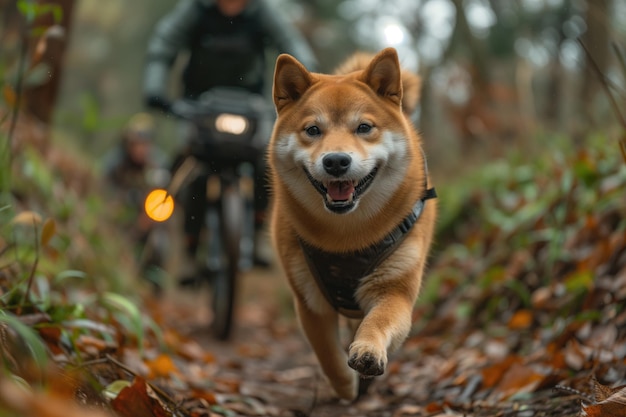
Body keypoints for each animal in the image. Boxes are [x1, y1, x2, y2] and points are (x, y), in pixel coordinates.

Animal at [266, 48, 434, 400]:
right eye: (312, 130)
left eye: (364, 127)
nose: (336, 161)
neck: (346, 237)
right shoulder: (309, 302)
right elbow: (327, 355)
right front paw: (345, 385)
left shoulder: (393, 290)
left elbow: (377, 322)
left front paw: (367, 352)